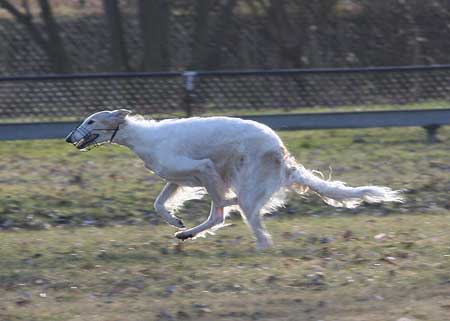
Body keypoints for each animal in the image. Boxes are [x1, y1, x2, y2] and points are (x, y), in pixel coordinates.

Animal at [65, 109, 402, 249]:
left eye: (91, 121)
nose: (69, 138)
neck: (145, 138)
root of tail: (282, 153)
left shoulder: (205, 169)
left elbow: (218, 205)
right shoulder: (177, 179)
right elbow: (159, 204)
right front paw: (176, 222)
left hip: (249, 191)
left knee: (245, 224)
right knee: (223, 217)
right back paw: (186, 234)